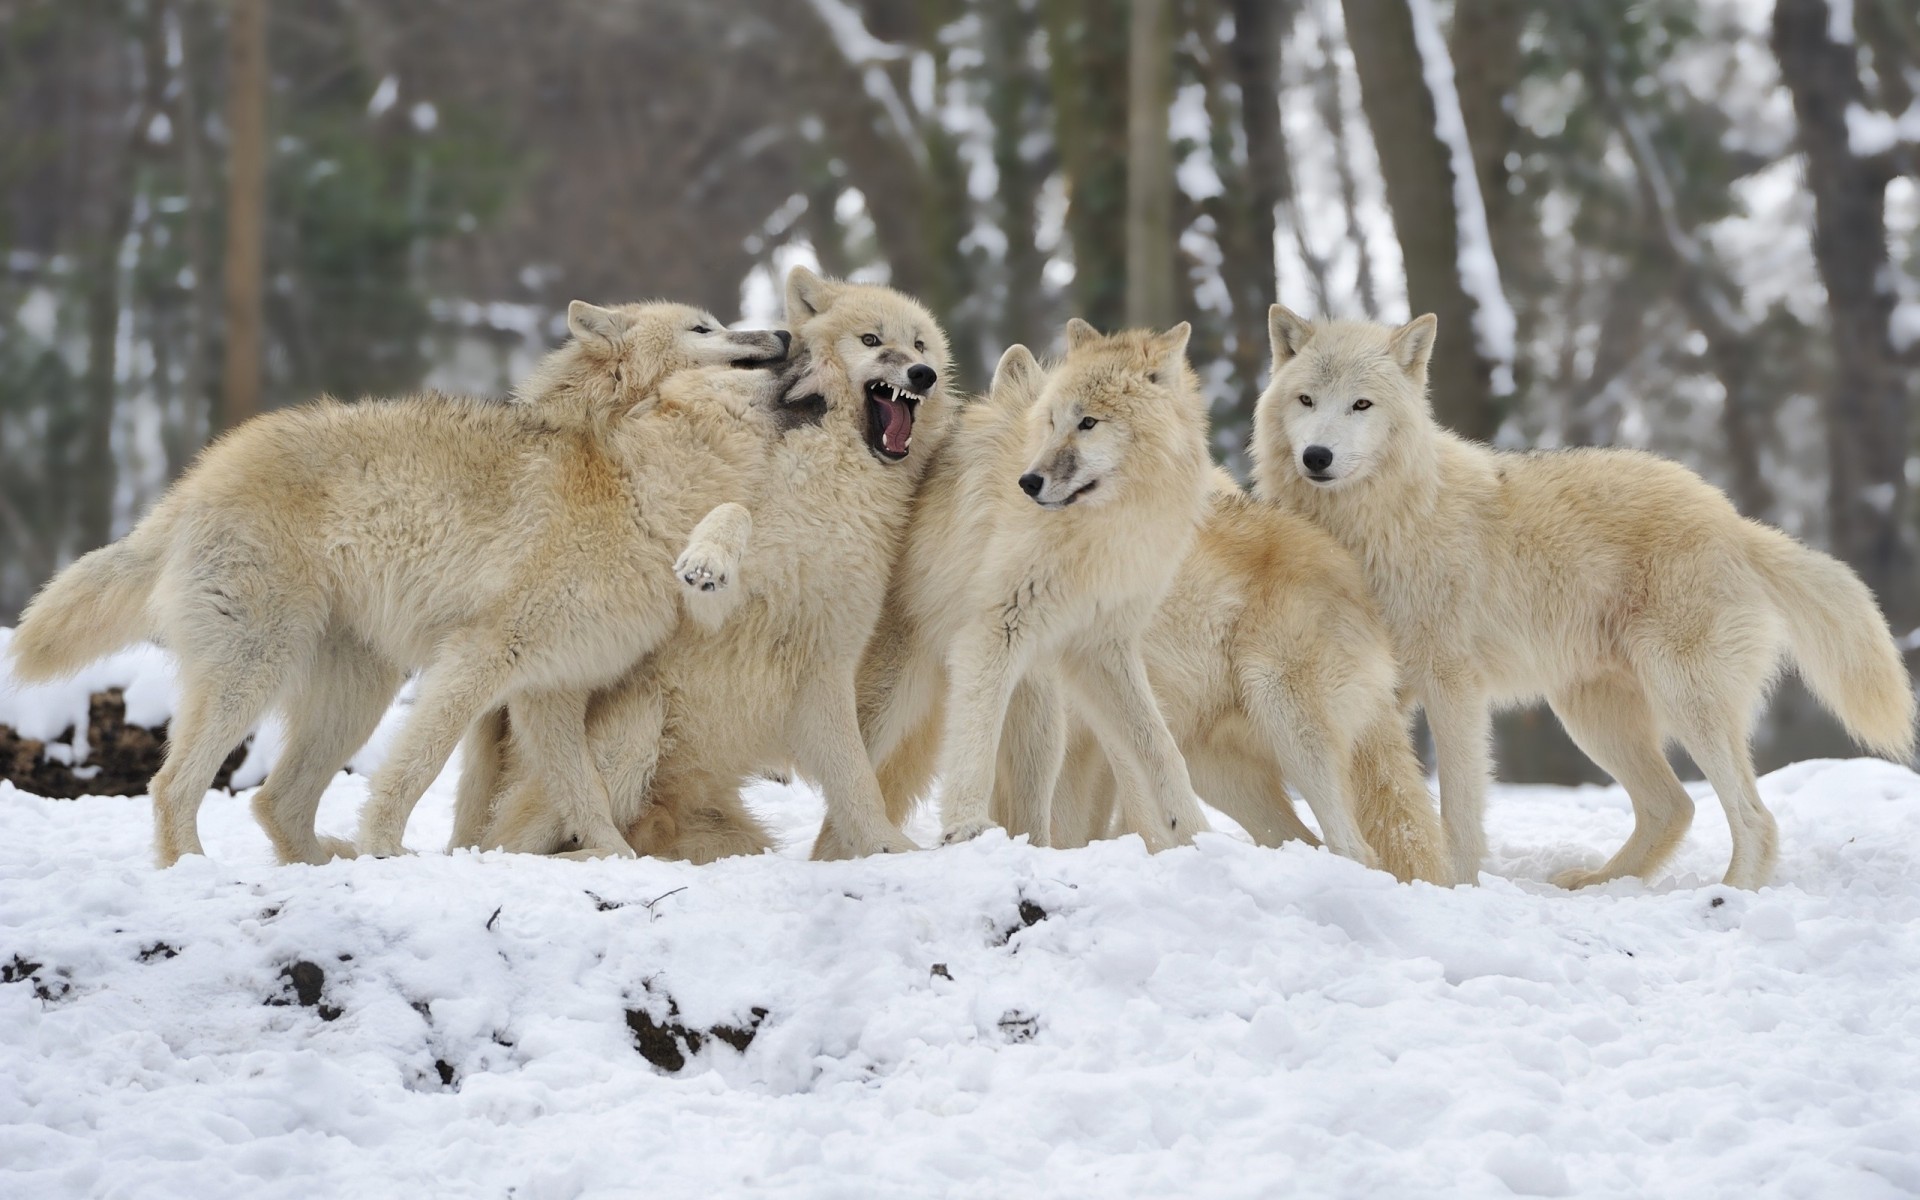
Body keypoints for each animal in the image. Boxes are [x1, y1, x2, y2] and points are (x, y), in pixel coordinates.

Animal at [6, 303, 788, 866]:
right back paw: (199, 873)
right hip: (256, 671)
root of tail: (192, 482)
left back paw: (323, 863)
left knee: (274, 802)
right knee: (173, 786)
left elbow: (585, 794)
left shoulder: (550, 691)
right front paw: (386, 847)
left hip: (355, 693)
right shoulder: (480, 659)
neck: (629, 487)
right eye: (705, 328)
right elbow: (418, 767)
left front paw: (618, 861)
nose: (783, 333)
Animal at [456, 269, 955, 862]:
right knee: (520, 844)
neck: (833, 479)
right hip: (636, 722)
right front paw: (706, 559)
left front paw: (887, 848)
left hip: (730, 834)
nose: (922, 374)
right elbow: (734, 514)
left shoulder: (826, 659)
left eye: (921, 345)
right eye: (872, 341)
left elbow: (858, 783)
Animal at [845, 320, 1215, 854]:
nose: (1028, 482)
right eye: (1053, 422)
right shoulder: (994, 632)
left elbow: (1162, 749)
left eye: (1088, 423)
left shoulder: (1102, 647)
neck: (1104, 530)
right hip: (887, 701)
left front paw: (1196, 833)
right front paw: (965, 828)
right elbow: (974, 743)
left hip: (1041, 713)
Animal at [1252, 306, 1916, 889]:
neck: (1376, 525)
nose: (1317, 456)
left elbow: (1458, 809)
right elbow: (1384, 800)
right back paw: (1600, 885)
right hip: (1592, 717)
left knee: (1755, 818)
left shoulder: (1452, 686)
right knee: (1674, 806)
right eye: (1306, 401)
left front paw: (1457, 886)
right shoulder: (1378, 690)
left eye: (1361, 405)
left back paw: (1729, 897)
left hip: (1682, 700)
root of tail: (1735, 521)